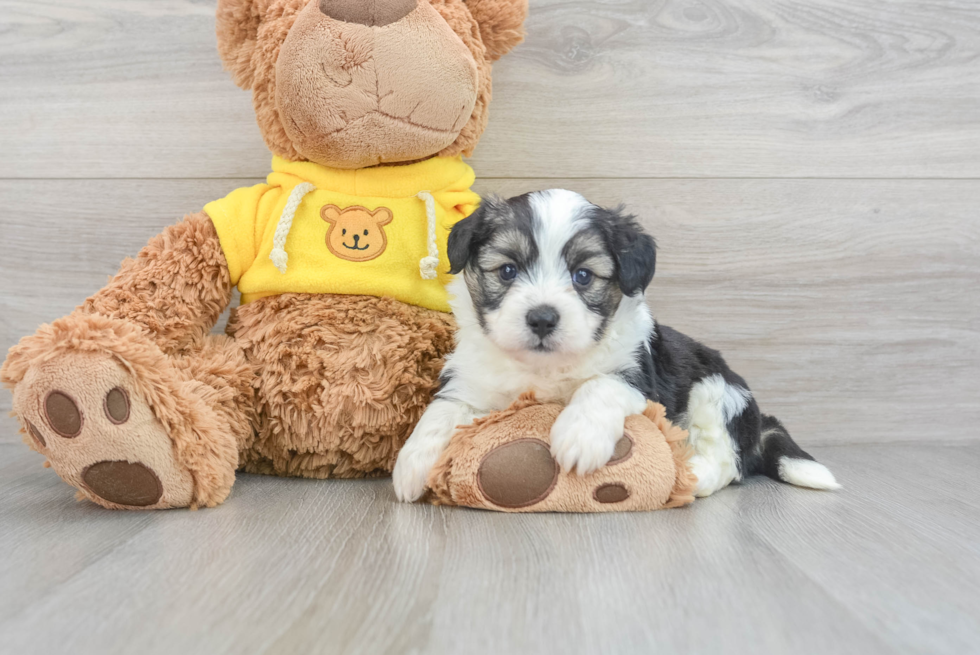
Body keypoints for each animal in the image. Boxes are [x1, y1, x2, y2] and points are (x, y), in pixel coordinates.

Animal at [394, 190, 840, 502]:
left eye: (583, 276)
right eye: (507, 270)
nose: (542, 318)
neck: (545, 367)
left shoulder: (638, 373)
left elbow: (599, 385)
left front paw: (579, 436)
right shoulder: (470, 380)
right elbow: (441, 412)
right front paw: (412, 463)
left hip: (717, 390)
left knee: (727, 459)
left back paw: (692, 474)